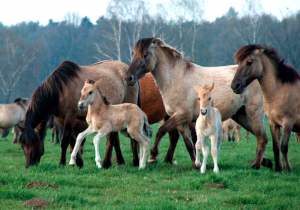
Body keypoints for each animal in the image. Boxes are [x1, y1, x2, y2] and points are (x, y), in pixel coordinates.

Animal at [124, 37, 272, 170]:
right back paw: (266, 162)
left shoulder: (181, 115)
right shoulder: (181, 120)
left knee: (261, 137)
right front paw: (196, 165)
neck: (176, 78)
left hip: (253, 113)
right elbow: (189, 143)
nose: (128, 78)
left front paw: (152, 157)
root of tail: (259, 75)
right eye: (133, 53)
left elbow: (161, 131)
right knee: (262, 137)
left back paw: (257, 166)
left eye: (145, 55)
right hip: (241, 116)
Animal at [232, 43, 300, 171]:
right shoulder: (273, 123)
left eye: (249, 62)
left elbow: (284, 146)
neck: (279, 91)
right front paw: (278, 169)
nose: (235, 86)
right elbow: (276, 146)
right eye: (238, 63)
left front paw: (287, 168)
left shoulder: (288, 122)